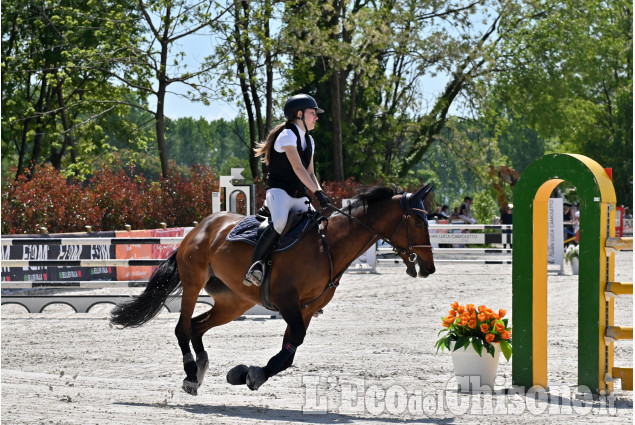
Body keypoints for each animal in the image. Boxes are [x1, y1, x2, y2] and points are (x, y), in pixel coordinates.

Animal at [110, 183, 438, 394]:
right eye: (418, 223)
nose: (429, 268)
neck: (329, 246)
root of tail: (201, 227)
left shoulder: (306, 309)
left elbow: (289, 351)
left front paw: (247, 374)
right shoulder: (287, 302)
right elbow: (293, 345)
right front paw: (252, 374)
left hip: (234, 302)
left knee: (196, 325)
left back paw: (201, 367)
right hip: (194, 282)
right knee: (182, 328)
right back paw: (191, 374)